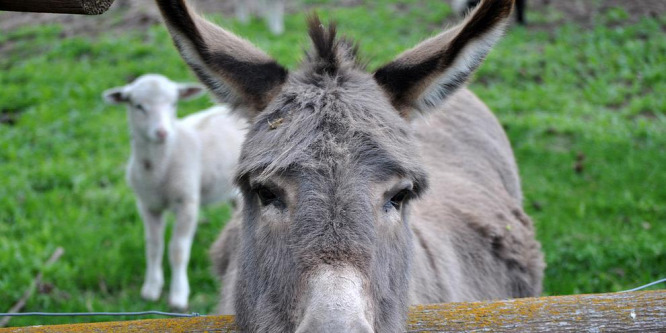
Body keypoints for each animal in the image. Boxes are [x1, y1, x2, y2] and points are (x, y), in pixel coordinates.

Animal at [100, 74, 243, 310]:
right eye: (138, 106)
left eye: (174, 103)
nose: (161, 132)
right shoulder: (147, 205)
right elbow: (153, 245)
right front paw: (151, 288)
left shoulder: (187, 202)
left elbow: (177, 250)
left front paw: (178, 295)